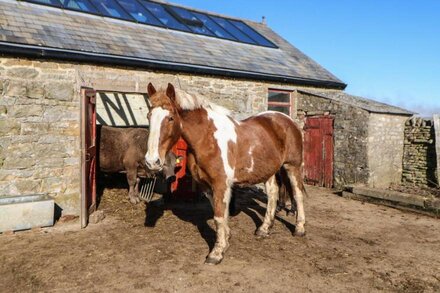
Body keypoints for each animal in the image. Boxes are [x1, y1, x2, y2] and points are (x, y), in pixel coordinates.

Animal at [144, 82, 306, 264]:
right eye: (149, 116)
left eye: (170, 118)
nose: (152, 161)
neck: (207, 139)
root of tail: (288, 120)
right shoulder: (207, 186)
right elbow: (220, 214)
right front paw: (226, 239)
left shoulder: (220, 184)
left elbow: (219, 216)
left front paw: (216, 253)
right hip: (268, 170)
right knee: (273, 194)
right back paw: (264, 229)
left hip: (292, 166)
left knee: (298, 194)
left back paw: (299, 229)